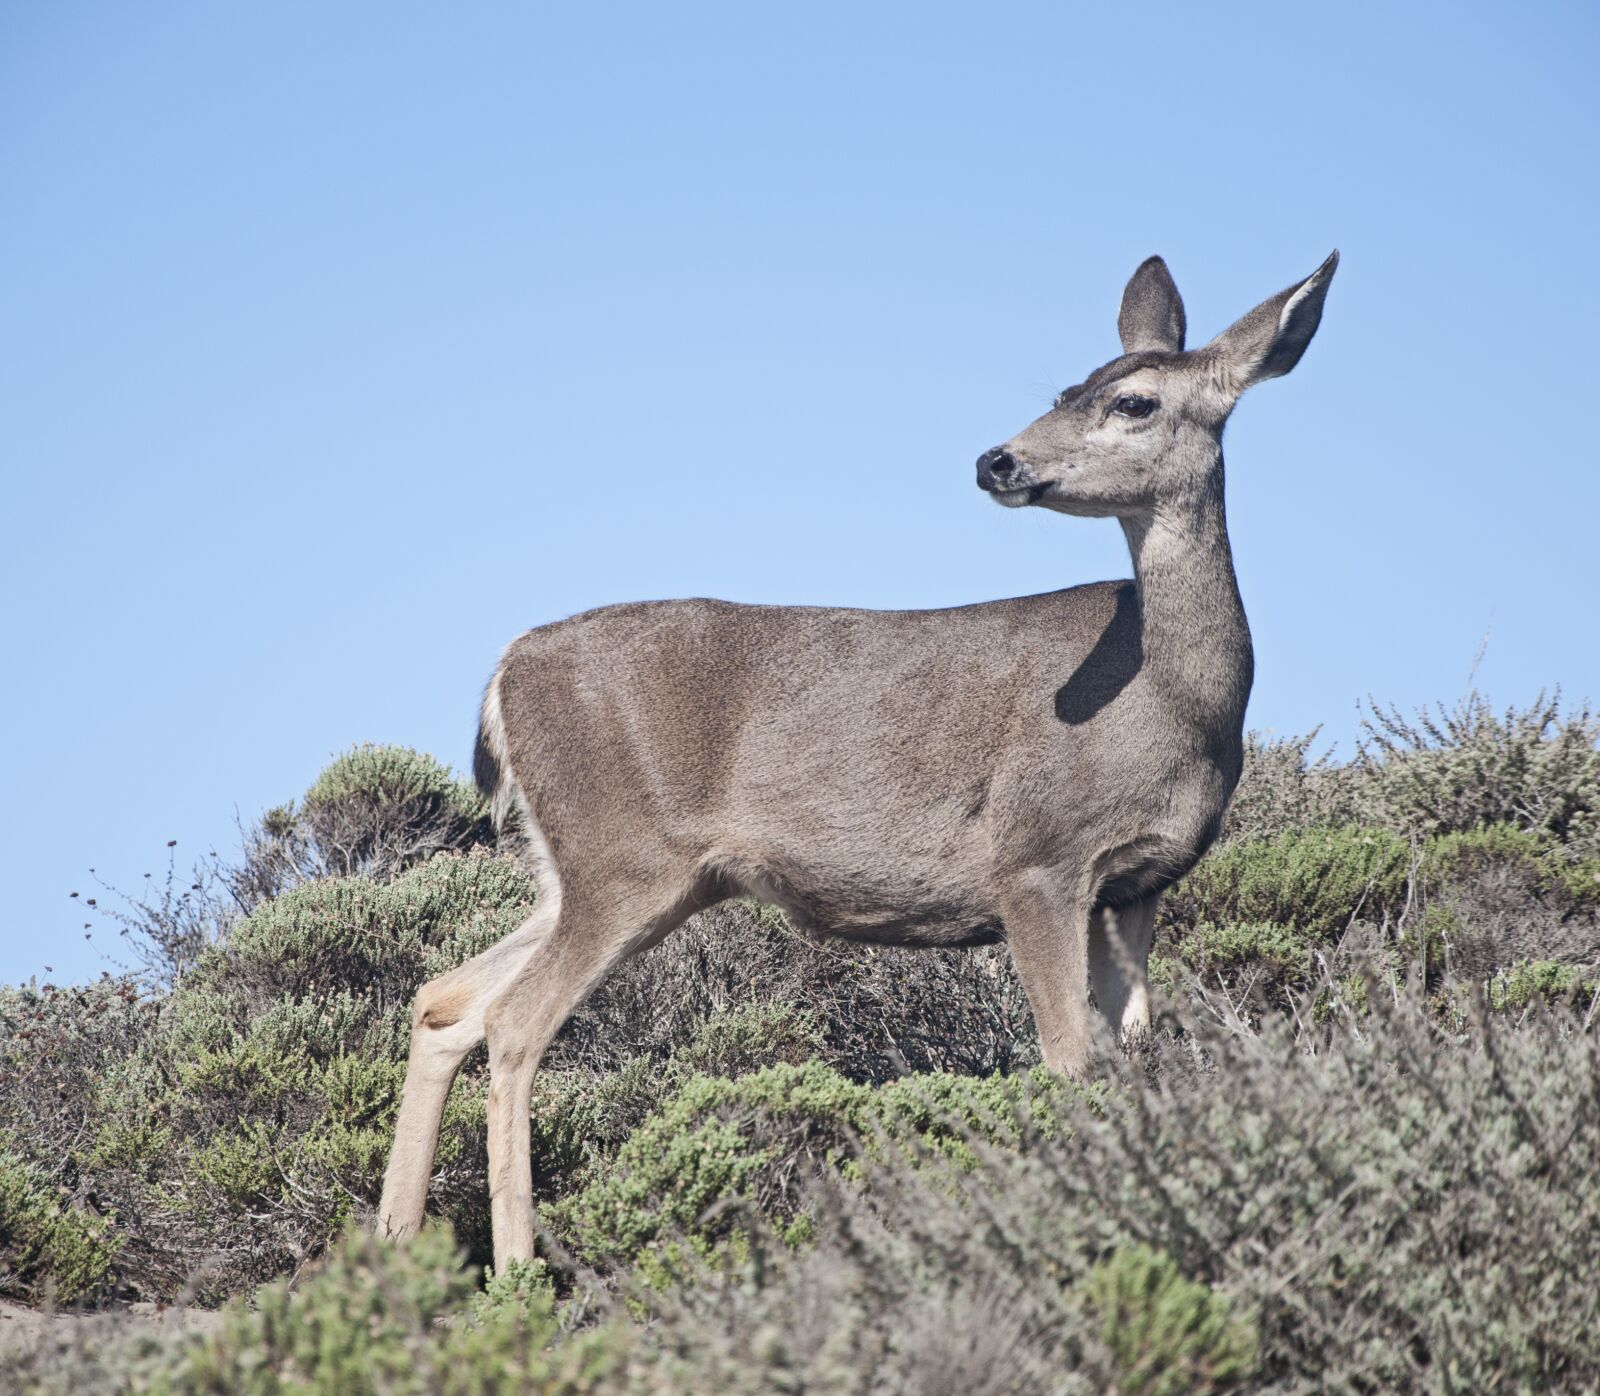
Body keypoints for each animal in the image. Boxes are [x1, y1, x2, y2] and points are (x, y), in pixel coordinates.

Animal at [374, 251, 1337, 1267]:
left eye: (1133, 400)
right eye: (1067, 389)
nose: (998, 460)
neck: (1178, 704)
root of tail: (508, 669)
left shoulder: (1140, 884)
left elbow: (1133, 1059)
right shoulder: (1037, 857)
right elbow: (1069, 1062)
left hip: (589, 873)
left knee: (447, 999)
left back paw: (394, 1244)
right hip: (621, 861)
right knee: (514, 1023)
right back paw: (518, 1268)